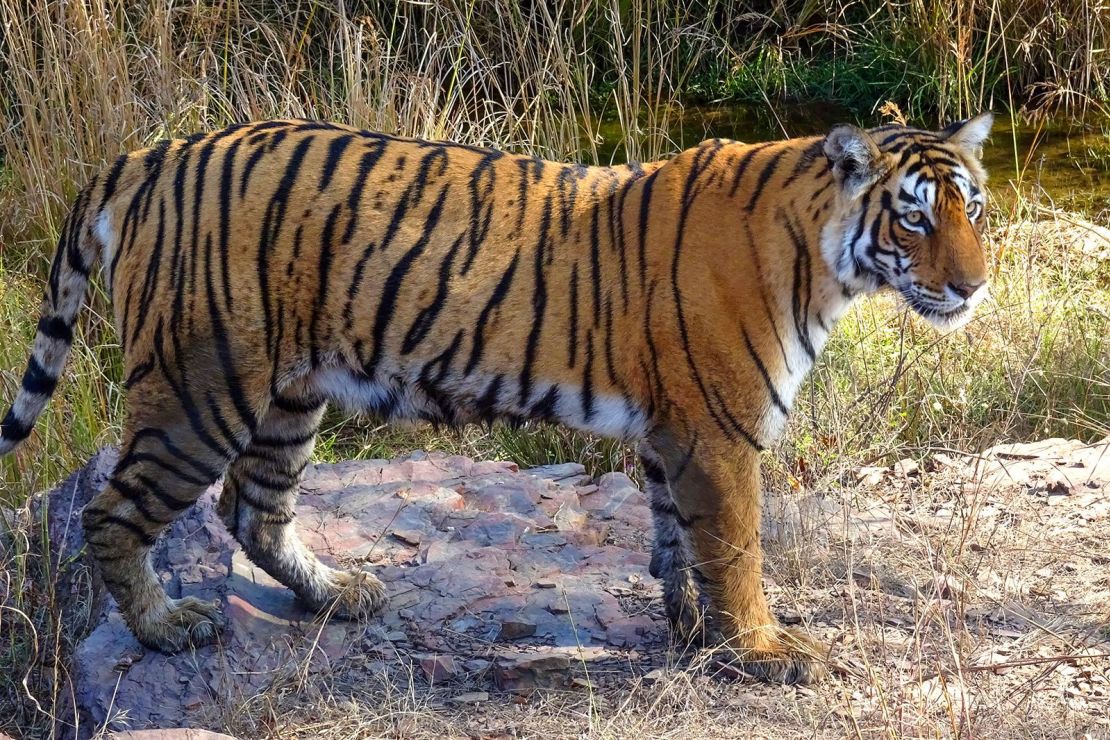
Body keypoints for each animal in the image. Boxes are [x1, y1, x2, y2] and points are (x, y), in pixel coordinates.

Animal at [0, 113, 990, 687]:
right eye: (914, 217)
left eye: (973, 208)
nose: (976, 287)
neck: (828, 261)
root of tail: (153, 152)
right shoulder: (719, 429)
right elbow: (737, 548)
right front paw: (762, 651)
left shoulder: (674, 428)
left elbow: (678, 539)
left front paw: (695, 635)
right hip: (201, 391)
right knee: (114, 512)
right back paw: (167, 627)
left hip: (290, 393)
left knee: (254, 507)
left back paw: (338, 593)